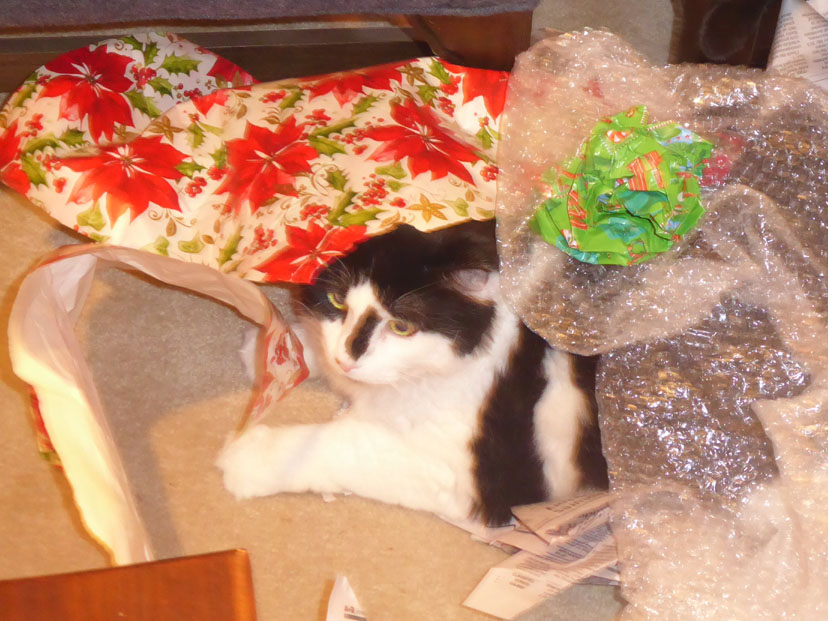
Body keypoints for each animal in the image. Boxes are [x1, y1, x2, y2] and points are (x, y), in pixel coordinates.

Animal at [218, 220, 608, 527]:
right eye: (337, 301)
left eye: (401, 326)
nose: (347, 358)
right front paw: (274, 352)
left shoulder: (465, 474)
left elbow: (336, 444)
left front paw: (246, 456)